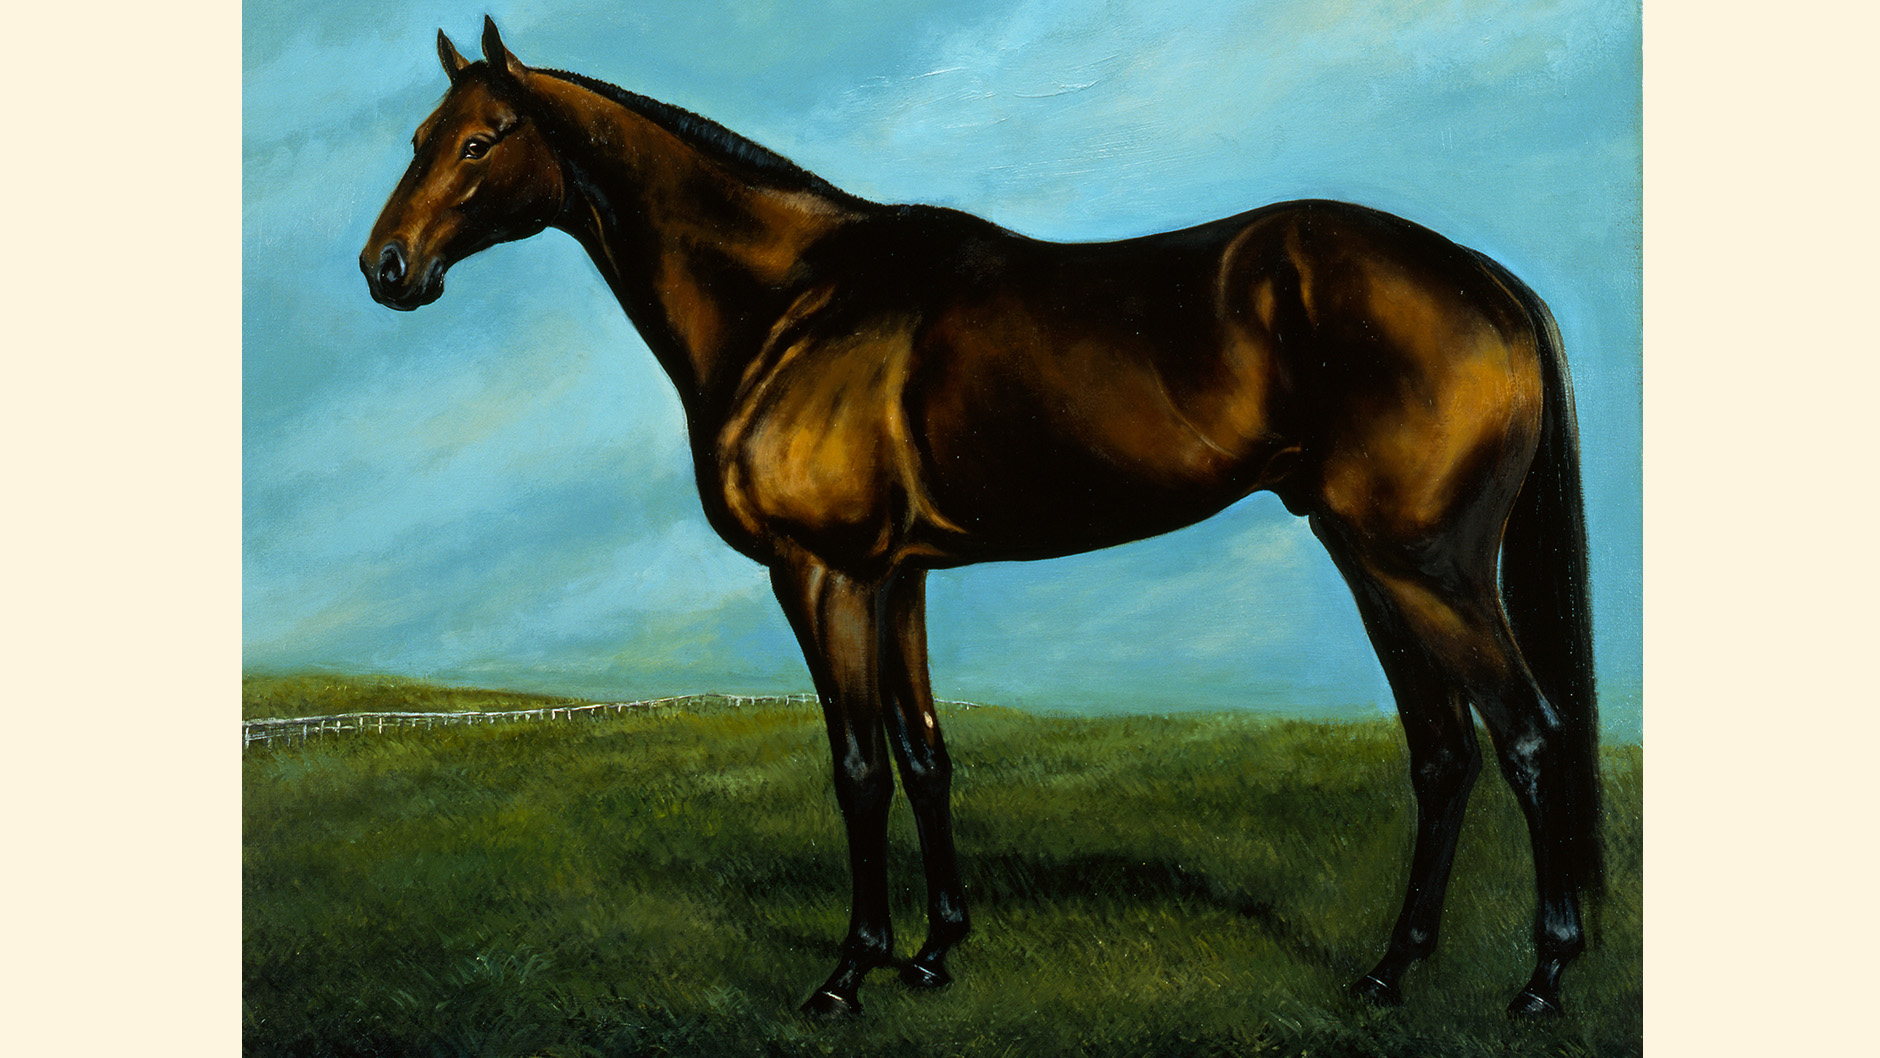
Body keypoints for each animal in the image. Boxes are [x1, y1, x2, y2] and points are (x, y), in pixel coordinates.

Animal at [361, 18, 1602, 1020]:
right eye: (419, 135)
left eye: (479, 141)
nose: (385, 268)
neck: (796, 302)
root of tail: (1487, 281)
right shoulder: (899, 574)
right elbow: (924, 752)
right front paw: (933, 951)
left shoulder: (822, 572)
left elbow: (858, 764)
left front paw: (848, 969)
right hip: (1368, 558)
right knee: (1441, 751)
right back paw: (1388, 971)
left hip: (1426, 565)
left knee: (1526, 734)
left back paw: (1540, 978)